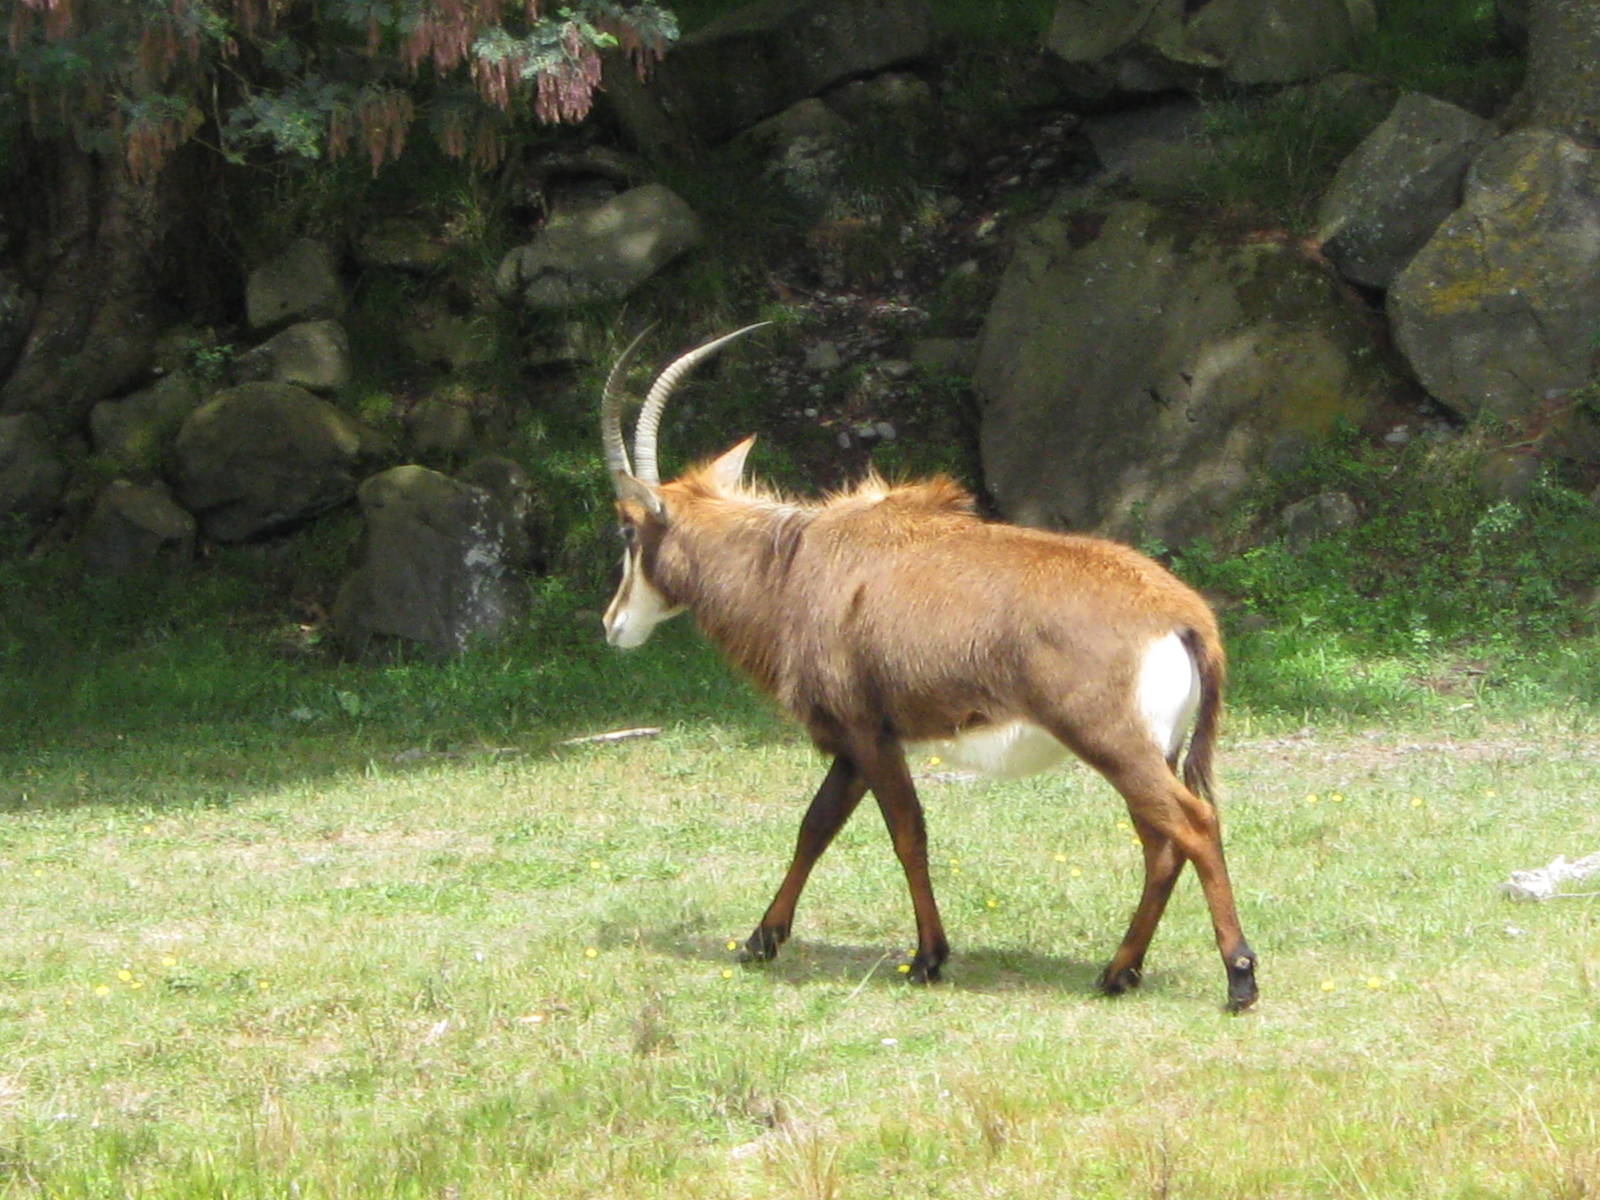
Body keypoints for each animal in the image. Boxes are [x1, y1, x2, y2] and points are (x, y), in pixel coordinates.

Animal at [599, 324, 1258, 1011]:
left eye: (625, 530)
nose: (613, 624)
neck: (789, 564)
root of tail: (1185, 615)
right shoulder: (856, 743)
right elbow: (815, 826)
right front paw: (762, 940)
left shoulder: (867, 733)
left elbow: (905, 833)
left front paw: (927, 958)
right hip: (1152, 752)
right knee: (1162, 843)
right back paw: (1118, 972)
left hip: (1113, 745)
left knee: (1193, 823)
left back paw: (1238, 976)